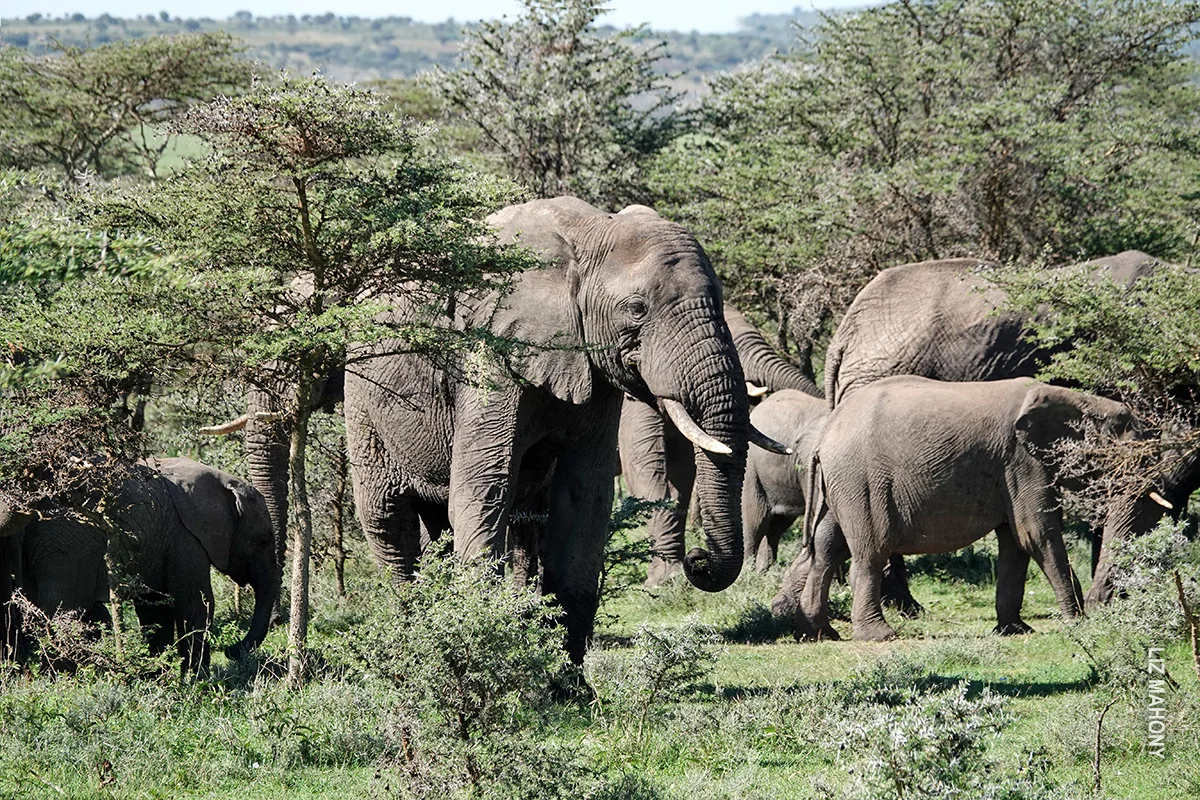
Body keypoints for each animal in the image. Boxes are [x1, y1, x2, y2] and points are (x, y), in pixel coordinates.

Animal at [11, 457, 280, 674]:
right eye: (263, 540)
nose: (230, 650)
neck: (222, 481)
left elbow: (154, 608)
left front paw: (158, 677)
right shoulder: (186, 537)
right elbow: (195, 603)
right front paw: (197, 679)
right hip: (67, 541)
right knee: (64, 609)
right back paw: (59, 680)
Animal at [791, 376, 1136, 642]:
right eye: (1122, 434)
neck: (1074, 397)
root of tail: (825, 435)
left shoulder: (1012, 468)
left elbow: (1015, 543)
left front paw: (1015, 630)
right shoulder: (1023, 461)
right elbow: (1036, 535)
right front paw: (1077, 623)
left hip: (841, 485)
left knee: (826, 548)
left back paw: (822, 633)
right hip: (861, 481)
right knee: (870, 552)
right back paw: (878, 635)